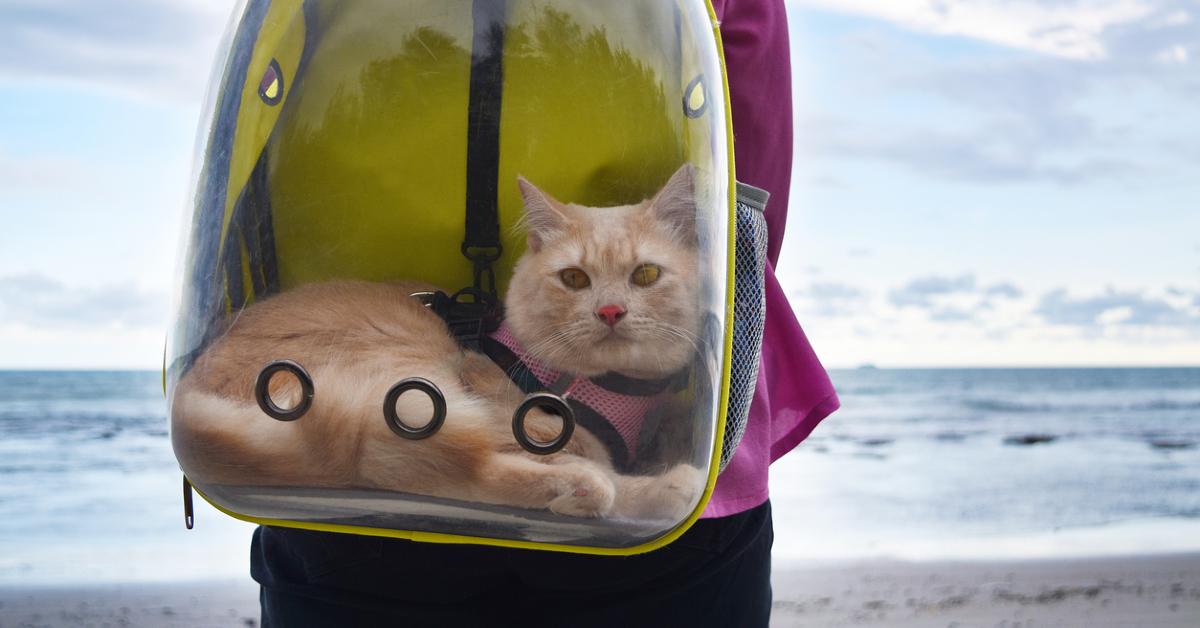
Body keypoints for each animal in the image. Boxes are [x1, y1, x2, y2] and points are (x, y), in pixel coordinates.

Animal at [174, 162, 705, 521]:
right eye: (574, 278)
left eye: (645, 275)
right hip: (408, 379)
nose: (610, 311)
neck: (617, 389)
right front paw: (653, 485)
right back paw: (580, 488)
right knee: (426, 471)